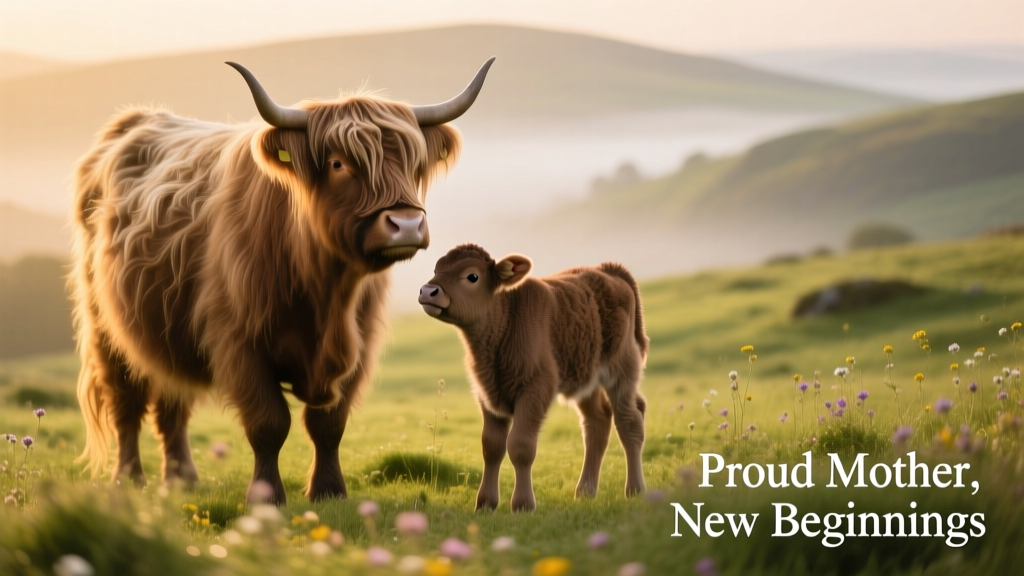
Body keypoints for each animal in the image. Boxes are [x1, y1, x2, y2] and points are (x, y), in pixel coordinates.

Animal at [71, 58, 494, 505]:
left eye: (413, 164)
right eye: (338, 163)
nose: (407, 224)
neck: (325, 292)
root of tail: (136, 120)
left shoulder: (359, 344)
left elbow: (328, 425)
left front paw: (329, 491)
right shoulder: (240, 342)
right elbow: (269, 424)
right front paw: (266, 496)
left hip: (168, 332)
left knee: (172, 403)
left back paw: (182, 480)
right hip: (105, 329)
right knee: (126, 404)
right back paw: (128, 480)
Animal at [418, 244, 648, 511]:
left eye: (472, 276)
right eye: (437, 269)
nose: (428, 291)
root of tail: (606, 270)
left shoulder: (536, 389)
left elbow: (521, 446)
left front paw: (523, 504)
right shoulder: (487, 395)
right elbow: (492, 446)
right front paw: (486, 504)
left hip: (622, 370)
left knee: (629, 421)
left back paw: (635, 490)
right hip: (585, 375)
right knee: (597, 422)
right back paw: (585, 491)